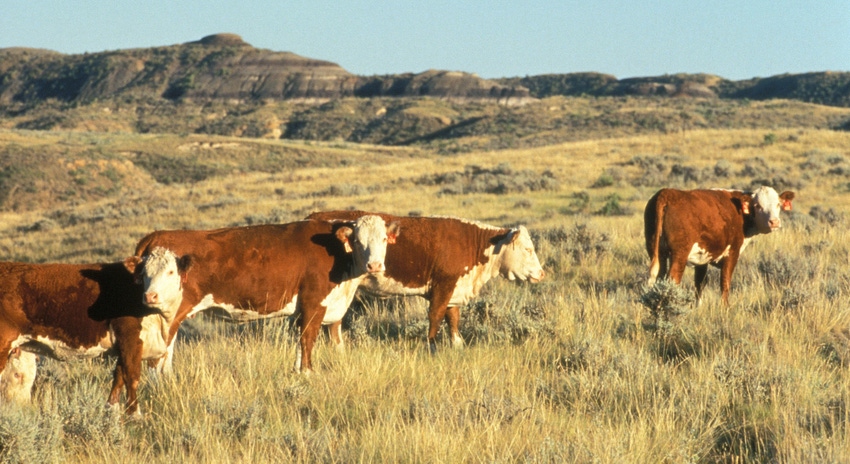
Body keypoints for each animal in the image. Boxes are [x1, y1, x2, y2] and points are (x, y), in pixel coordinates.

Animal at [0, 248, 190, 416]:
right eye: (144, 274)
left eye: (171, 272)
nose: (150, 296)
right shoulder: (130, 338)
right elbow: (132, 375)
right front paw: (134, 414)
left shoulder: (122, 345)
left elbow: (118, 376)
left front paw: (111, 410)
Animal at [132, 217, 398, 374]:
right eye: (358, 240)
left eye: (384, 238)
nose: (375, 265)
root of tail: (155, 236)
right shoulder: (314, 302)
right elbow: (307, 340)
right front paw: (309, 373)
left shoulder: (302, 310)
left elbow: (299, 343)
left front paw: (297, 373)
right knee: (158, 357)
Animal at [308, 212, 548, 354]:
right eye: (528, 249)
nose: (541, 273)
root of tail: (317, 215)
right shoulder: (443, 285)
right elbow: (436, 316)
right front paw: (432, 347)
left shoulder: (454, 289)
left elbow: (453, 317)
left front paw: (457, 344)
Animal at [644, 185, 796, 304]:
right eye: (757, 205)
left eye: (778, 204)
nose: (774, 222)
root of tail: (666, 193)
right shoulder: (732, 252)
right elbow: (725, 282)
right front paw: (725, 308)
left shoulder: (702, 258)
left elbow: (700, 284)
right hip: (679, 253)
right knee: (672, 279)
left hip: (656, 251)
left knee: (659, 279)